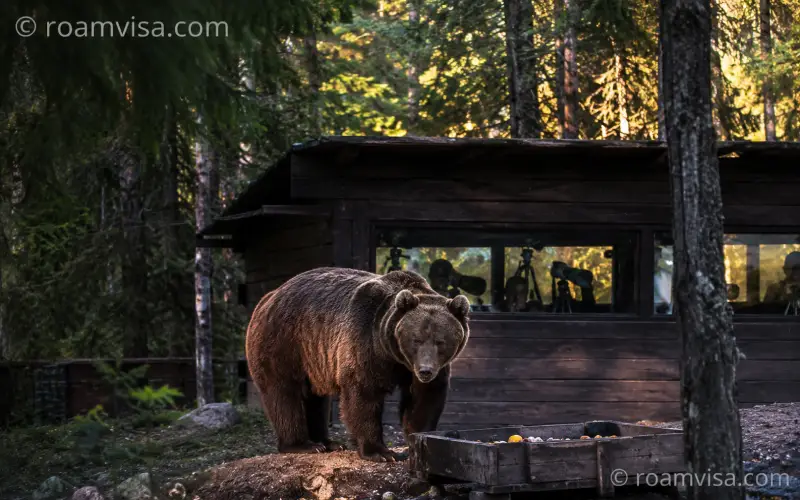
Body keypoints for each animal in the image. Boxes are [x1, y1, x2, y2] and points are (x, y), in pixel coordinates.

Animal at [245, 266, 470, 462]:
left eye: (440, 341)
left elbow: (424, 398)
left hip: (314, 358)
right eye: (416, 339)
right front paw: (381, 452)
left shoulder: (422, 368)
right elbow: (363, 393)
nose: (425, 370)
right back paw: (304, 444)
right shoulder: (366, 338)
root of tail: (268, 297)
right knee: (284, 392)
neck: (395, 355)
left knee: (316, 398)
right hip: (284, 341)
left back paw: (328, 442)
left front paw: (416, 443)